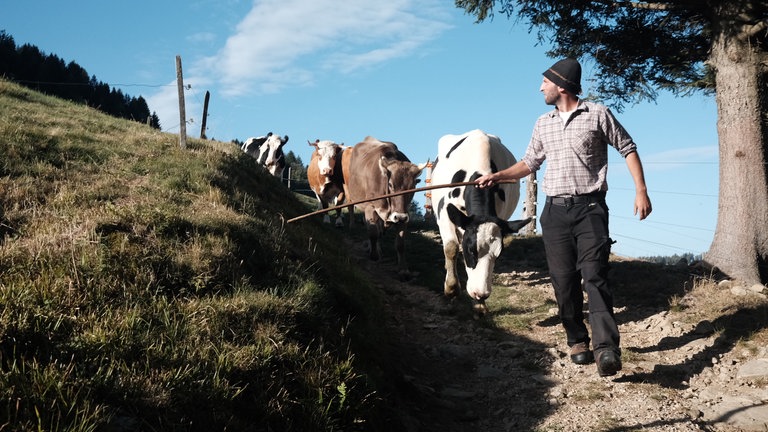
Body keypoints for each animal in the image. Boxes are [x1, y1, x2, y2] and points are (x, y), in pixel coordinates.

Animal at [342, 136, 426, 280]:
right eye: (391, 185)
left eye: (412, 187)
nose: (399, 216)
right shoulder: (370, 207)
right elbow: (373, 233)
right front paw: (374, 255)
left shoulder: (404, 214)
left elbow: (400, 244)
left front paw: (403, 269)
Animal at [428, 130, 532, 312]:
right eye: (471, 251)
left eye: (498, 254)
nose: (481, 294)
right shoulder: (444, 214)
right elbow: (451, 247)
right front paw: (451, 288)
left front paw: (480, 305)